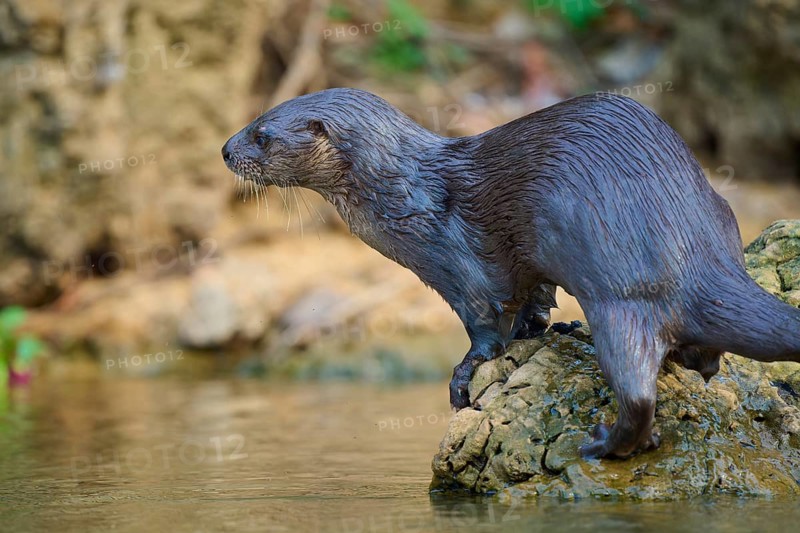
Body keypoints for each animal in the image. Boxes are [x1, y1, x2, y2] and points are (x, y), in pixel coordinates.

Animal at [221, 88, 800, 459]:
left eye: (262, 135)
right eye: (252, 122)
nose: (226, 149)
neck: (401, 196)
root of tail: (694, 250)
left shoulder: (453, 266)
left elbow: (482, 328)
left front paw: (464, 377)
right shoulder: (526, 267)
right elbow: (533, 298)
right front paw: (538, 330)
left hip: (620, 291)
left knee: (637, 390)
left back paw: (604, 444)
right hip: (720, 218)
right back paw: (690, 363)